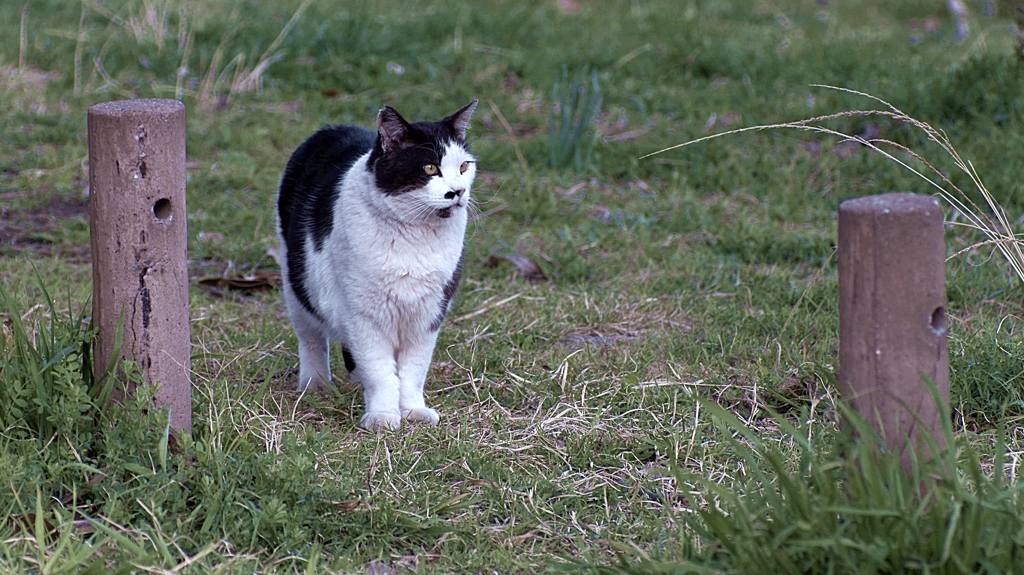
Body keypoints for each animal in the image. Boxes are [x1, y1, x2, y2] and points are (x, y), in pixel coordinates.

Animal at [274, 100, 477, 427]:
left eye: (463, 167)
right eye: (430, 168)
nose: (458, 192)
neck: (414, 238)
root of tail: (332, 128)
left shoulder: (428, 315)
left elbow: (413, 371)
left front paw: (412, 410)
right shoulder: (362, 315)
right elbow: (379, 370)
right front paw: (382, 416)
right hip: (296, 285)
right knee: (312, 338)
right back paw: (316, 383)